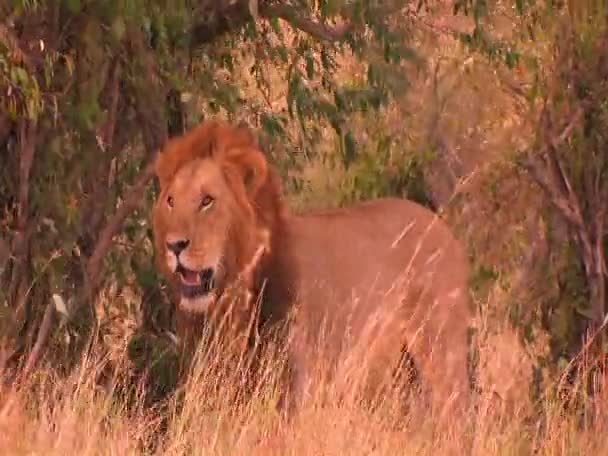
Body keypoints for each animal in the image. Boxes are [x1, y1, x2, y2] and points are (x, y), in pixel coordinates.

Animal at [152, 119, 476, 418]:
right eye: (170, 201)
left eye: (207, 201)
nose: (174, 246)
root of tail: (446, 231)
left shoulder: (295, 386)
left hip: (440, 353)